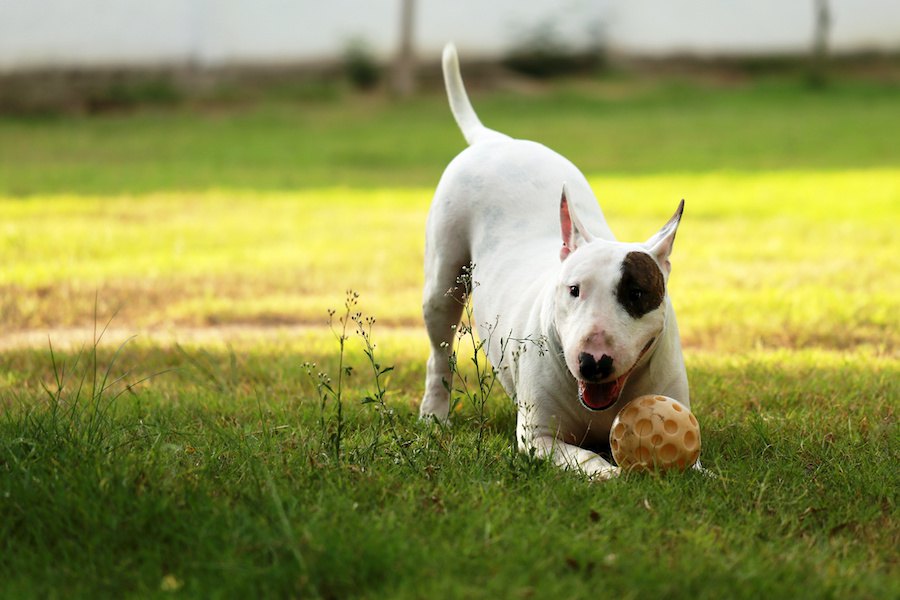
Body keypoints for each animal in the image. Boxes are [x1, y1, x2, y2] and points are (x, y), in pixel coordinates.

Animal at [420, 44, 688, 480]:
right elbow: (585, 457)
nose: (592, 362)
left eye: (636, 293)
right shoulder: (539, 437)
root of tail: (494, 140)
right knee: (439, 353)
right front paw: (612, 474)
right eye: (574, 290)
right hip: (442, 281)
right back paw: (433, 415)